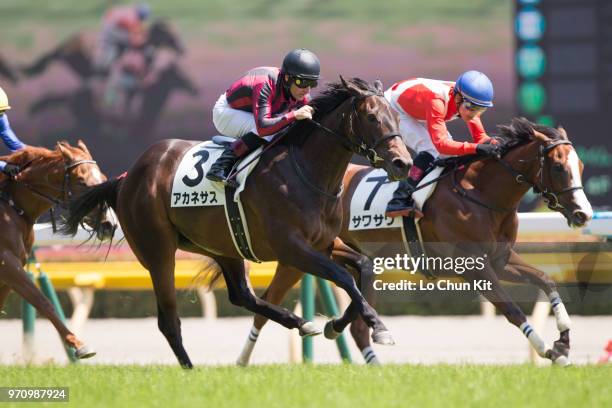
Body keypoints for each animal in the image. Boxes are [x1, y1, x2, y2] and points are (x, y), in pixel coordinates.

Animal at [0, 142, 116, 358]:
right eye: (81, 181)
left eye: (103, 178)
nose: (109, 225)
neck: (12, 208)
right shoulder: (7, 264)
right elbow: (42, 300)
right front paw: (79, 345)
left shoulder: (12, 269)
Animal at [62, 77, 414, 370]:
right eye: (372, 117)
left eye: (397, 119)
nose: (403, 163)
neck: (307, 172)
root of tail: (127, 177)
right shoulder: (291, 248)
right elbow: (344, 277)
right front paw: (377, 326)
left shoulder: (324, 243)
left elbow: (363, 269)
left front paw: (338, 324)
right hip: (158, 252)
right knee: (169, 319)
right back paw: (189, 370)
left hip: (222, 246)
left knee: (241, 295)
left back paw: (302, 323)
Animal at [235, 117, 592, 366]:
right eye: (558, 167)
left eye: (581, 165)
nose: (583, 214)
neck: (480, 194)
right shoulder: (474, 269)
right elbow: (513, 310)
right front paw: (548, 350)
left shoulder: (500, 261)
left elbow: (546, 280)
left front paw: (563, 339)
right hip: (298, 254)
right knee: (264, 308)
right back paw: (242, 361)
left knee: (356, 319)